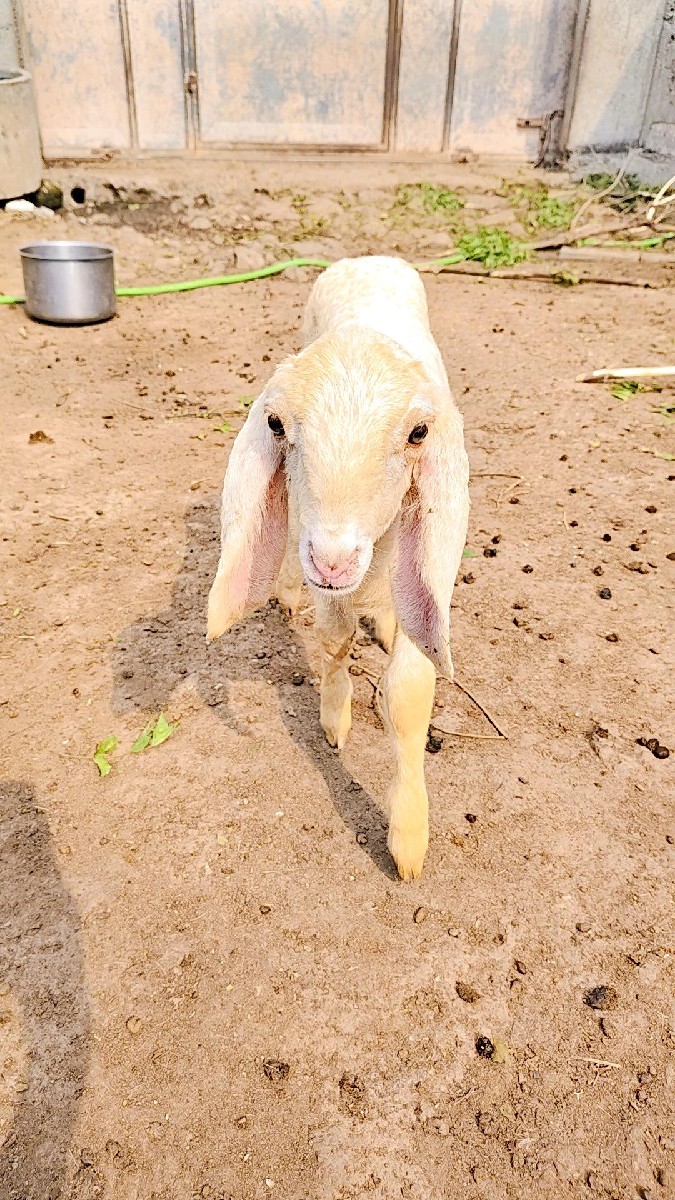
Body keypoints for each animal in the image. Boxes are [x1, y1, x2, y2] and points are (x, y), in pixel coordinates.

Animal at [207, 256, 469, 880]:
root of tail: (367, 259)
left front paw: (408, 838)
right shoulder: (323, 575)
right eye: (275, 424)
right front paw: (334, 722)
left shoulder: (414, 574)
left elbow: (410, 692)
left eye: (419, 432)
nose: (333, 560)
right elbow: (331, 641)